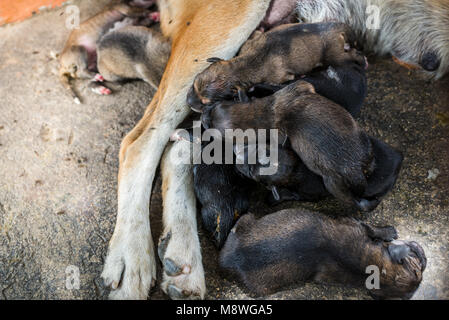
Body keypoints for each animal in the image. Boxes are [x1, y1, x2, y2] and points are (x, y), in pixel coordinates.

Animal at [186, 22, 364, 109]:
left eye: (207, 103)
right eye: (193, 85)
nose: (188, 103)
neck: (242, 66)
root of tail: (335, 27)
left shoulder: (280, 77)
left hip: (335, 55)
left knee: (353, 55)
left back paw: (364, 61)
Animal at [201, 79, 398, 212]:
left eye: (211, 127)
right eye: (215, 106)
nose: (203, 116)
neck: (261, 114)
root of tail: (357, 169)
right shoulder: (297, 89)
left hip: (334, 184)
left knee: (353, 201)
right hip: (364, 140)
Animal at [220, 209, 428, 298]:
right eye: (416, 268)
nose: (424, 258)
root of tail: (226, 261)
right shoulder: (353, 224)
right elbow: (370, 227)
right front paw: (389, 231)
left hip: (245, 220)